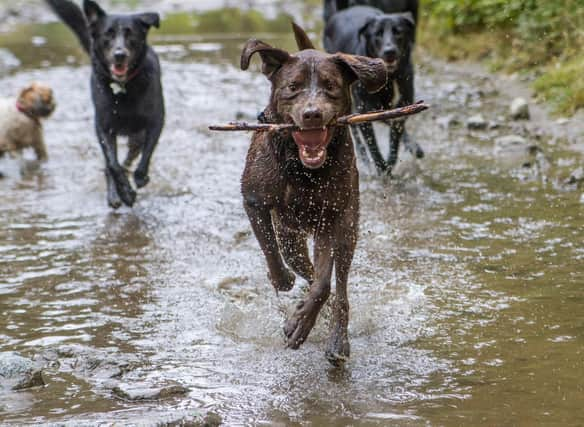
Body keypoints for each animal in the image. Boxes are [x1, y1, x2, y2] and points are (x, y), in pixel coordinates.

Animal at [44, 0, 164, 207]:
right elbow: (113, 165)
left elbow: (147, 153)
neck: (123, 87)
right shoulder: (103, 128)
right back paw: (115, 194)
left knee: (132, 155)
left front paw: (140, 177)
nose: (119, 54)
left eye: (130, 33)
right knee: (111, 165)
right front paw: (125, 192)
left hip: (136, 137)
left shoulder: (155, 121)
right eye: (108, 34)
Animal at [324, 5, 420, 176]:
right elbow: (374, 148)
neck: (389, 78)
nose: (389, 51)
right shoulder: (363, 113)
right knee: (354, 133)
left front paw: (390, 163)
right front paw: (382, 169)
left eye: (398, 32)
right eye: (378, 34)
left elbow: (394, 140)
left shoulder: (400, 109)